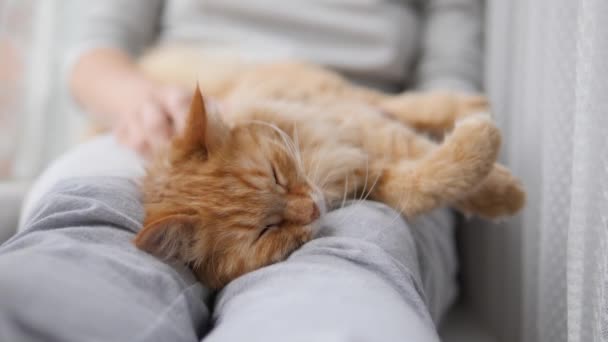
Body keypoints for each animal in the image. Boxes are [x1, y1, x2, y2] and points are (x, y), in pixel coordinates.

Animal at [133, 45, 524, 288]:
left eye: (276, 175)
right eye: (267, 231)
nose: (312, 209)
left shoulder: (356, 128)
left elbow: (420, 149)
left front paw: (503, 189)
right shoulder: (376, 177)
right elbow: (422, 185)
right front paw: (497, 187)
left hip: (340, 94)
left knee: (398, 103)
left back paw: (469, 105)